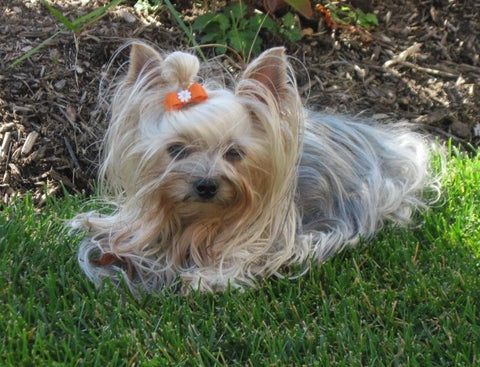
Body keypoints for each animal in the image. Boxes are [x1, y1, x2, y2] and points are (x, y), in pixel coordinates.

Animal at [72, 41, 438, 294]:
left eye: (235, 153)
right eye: (176, 150)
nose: (206, 185)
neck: (201, 221)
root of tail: (382, 137)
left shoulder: (269, 240)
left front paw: (208, 279)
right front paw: (91, 225)